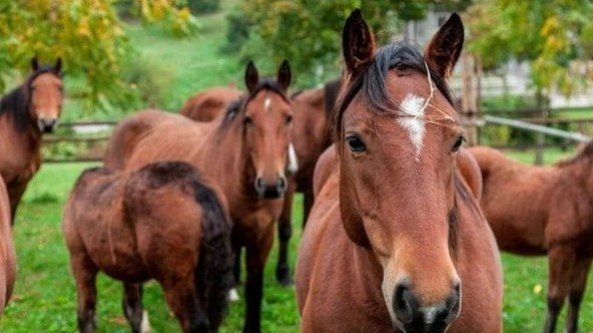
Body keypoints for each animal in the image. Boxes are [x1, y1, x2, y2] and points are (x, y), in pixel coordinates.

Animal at [61, 160, 234, 330]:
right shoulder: (128, 270)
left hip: (176, 281)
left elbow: (86, 312)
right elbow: (134, 311)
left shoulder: (80, 261)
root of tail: (196, 187)